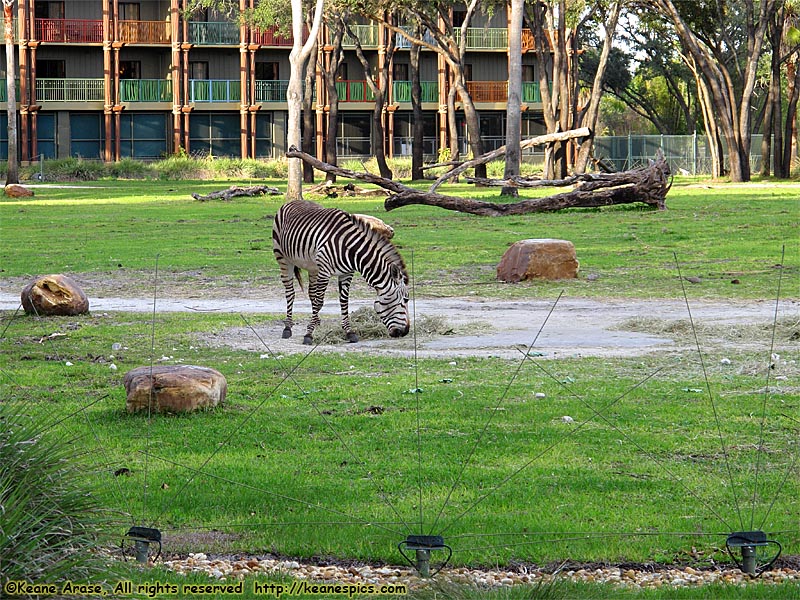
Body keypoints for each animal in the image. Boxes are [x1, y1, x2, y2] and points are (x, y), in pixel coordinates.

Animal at [276, 199, 412, 344]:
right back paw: (287, 328)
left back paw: (316, 322)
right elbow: (319, 302)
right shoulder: (325, 271)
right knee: (290, 293)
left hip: (313, 266)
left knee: (311, 293)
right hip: (283, 258)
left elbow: (344, 301)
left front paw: (349, 332)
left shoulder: (346, 273)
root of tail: (295, 200)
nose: (405, 332)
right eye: (405, 300)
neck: (349, 248)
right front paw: (308, 335)